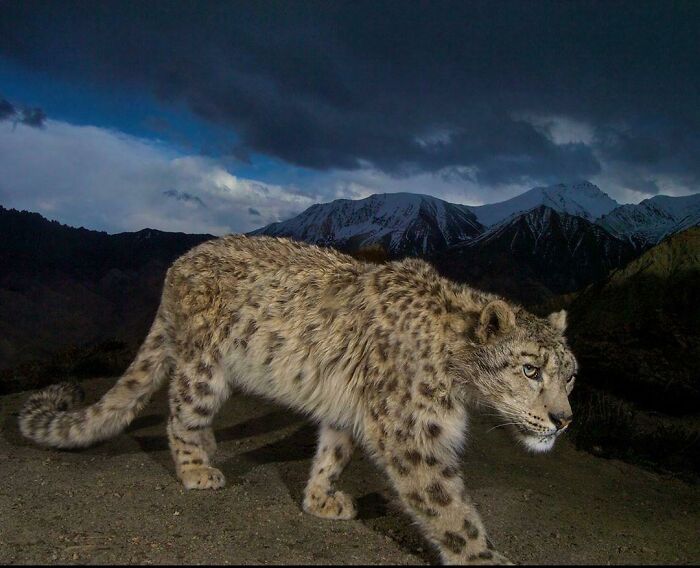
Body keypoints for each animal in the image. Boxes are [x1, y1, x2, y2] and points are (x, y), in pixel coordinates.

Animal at [20, 234, 576, 564]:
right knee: (179, 413)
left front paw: (321, 498)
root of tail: (177, 265)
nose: (564, 420)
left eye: (571, 376)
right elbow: (449, 508)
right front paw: (486, 558)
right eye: (530, 370)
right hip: (205, 371)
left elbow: (333, 451)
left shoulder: (350, 410)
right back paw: (198, 468)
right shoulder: (411, 436)